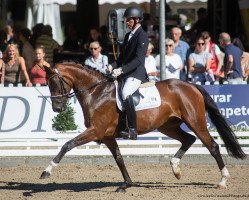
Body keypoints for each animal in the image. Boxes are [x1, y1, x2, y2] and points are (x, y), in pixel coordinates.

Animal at [40, 61, 246, 192]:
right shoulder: (107, 136)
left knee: (212, 146)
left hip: (195, 121)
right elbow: (119, 158)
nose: (57, 108)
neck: (96, 92)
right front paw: (127, 184)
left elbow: (67, 144)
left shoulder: (95, 131)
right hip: (167, 126)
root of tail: (190, 85)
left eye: (55, 82)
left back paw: (222, 181)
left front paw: (46, 171)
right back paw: (176, 169)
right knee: (189, 139)